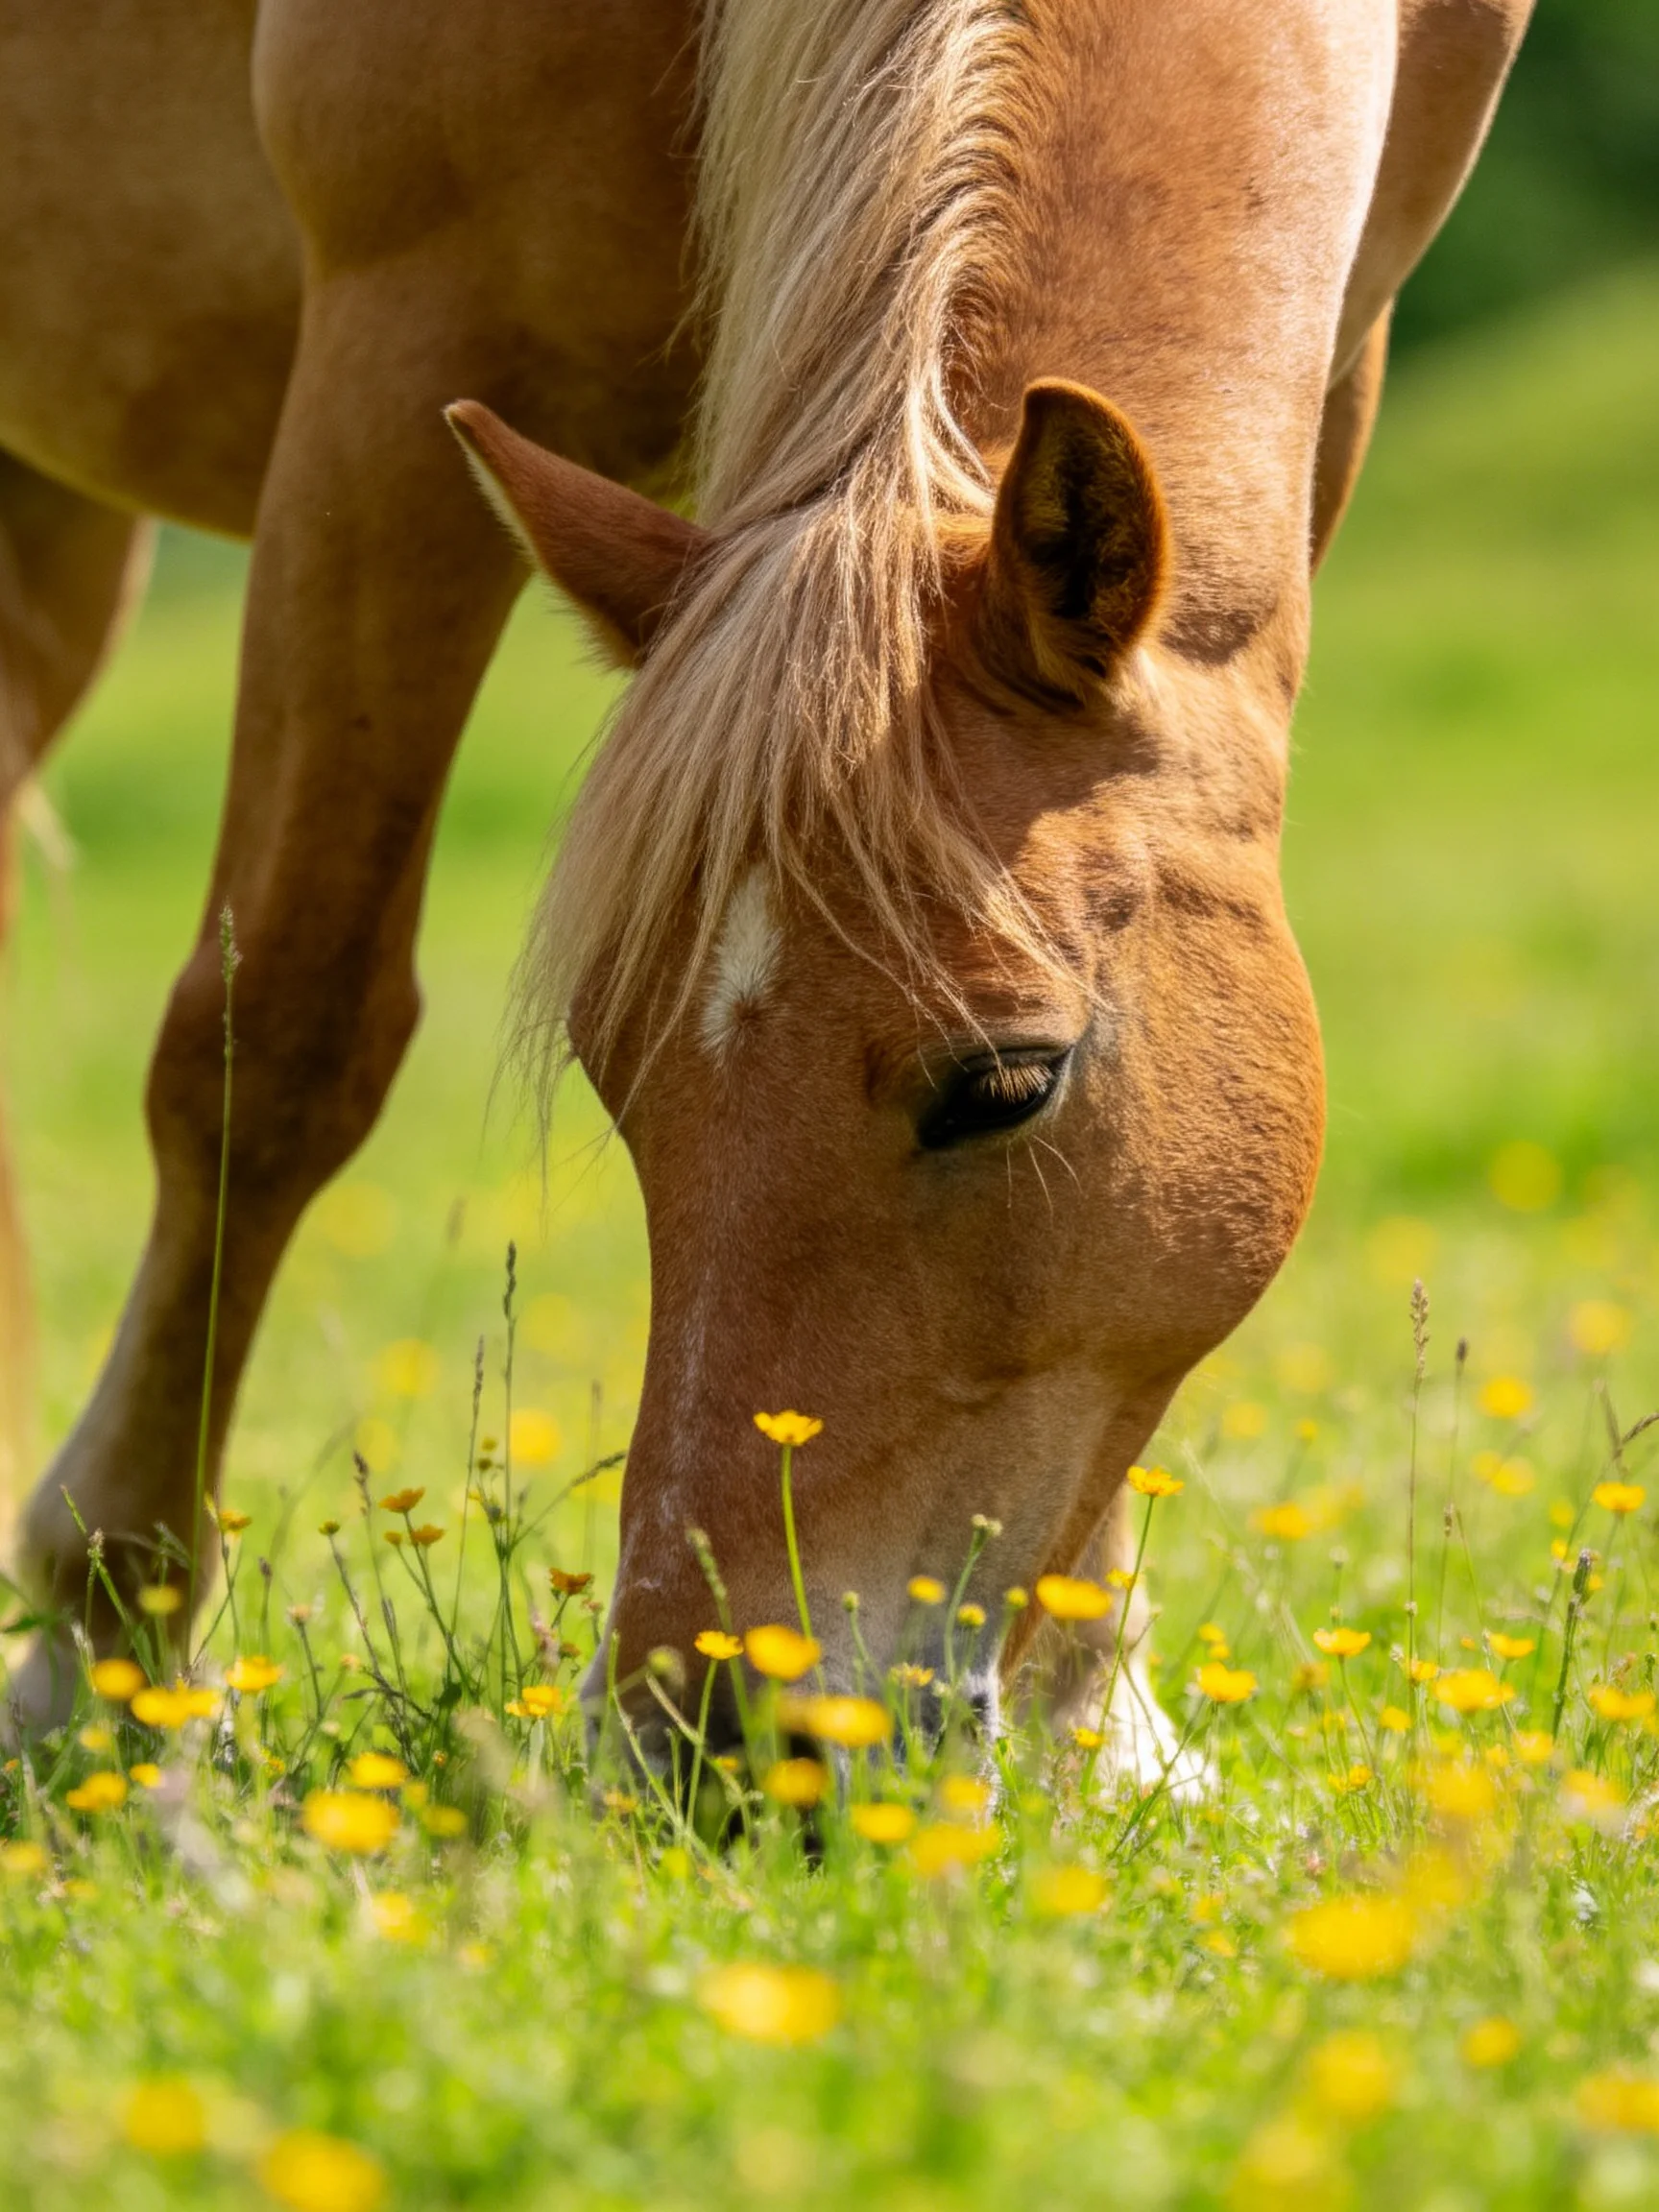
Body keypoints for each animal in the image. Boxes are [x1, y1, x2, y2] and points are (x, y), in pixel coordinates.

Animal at [0, 0, 1531, 1752]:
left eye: (1007, 1085)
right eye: (612, 1074)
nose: (706, 1734)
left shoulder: (1338, 367)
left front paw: (1098, 1703)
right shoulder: (401, 345)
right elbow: (275, 1045)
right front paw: (101, 1653)